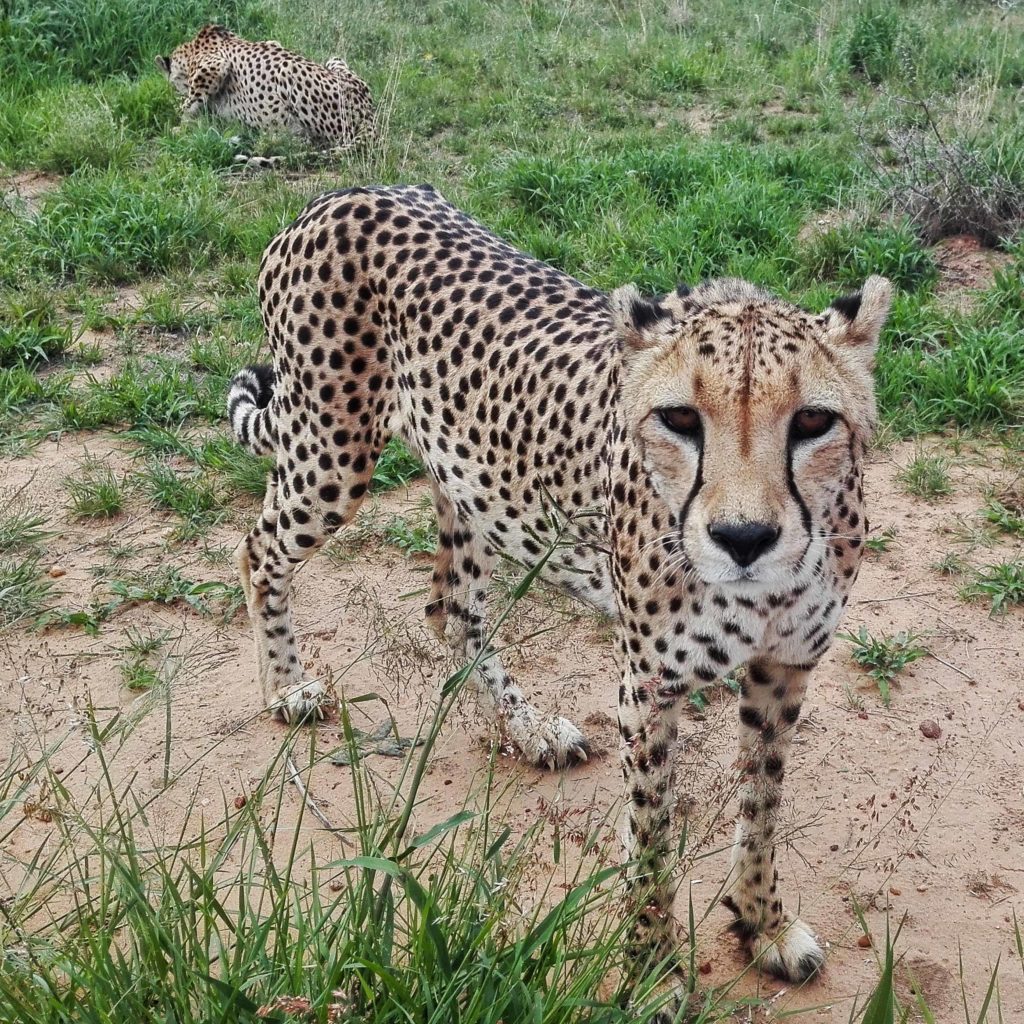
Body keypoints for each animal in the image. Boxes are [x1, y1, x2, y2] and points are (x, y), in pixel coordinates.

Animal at [155, 25, 373, 169]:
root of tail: (368, 114)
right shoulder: (272, 41)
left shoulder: (214, 67)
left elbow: (188, 104)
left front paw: (178, 127)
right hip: (335, 60)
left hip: (288, 71)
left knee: (311, 141)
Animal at [227, 182, 891, 992]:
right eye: (679, 418)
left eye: (813, 421)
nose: (743, 539)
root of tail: (341, 194)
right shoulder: (650, 685)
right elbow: (650, 841)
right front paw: (652, 972)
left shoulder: (784, 668)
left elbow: (761, 804)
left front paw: (762, 923)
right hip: (330, 452)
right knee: (259, 549)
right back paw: (289, 687)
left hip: (468, 481)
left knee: (451, 607)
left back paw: (527, 729)